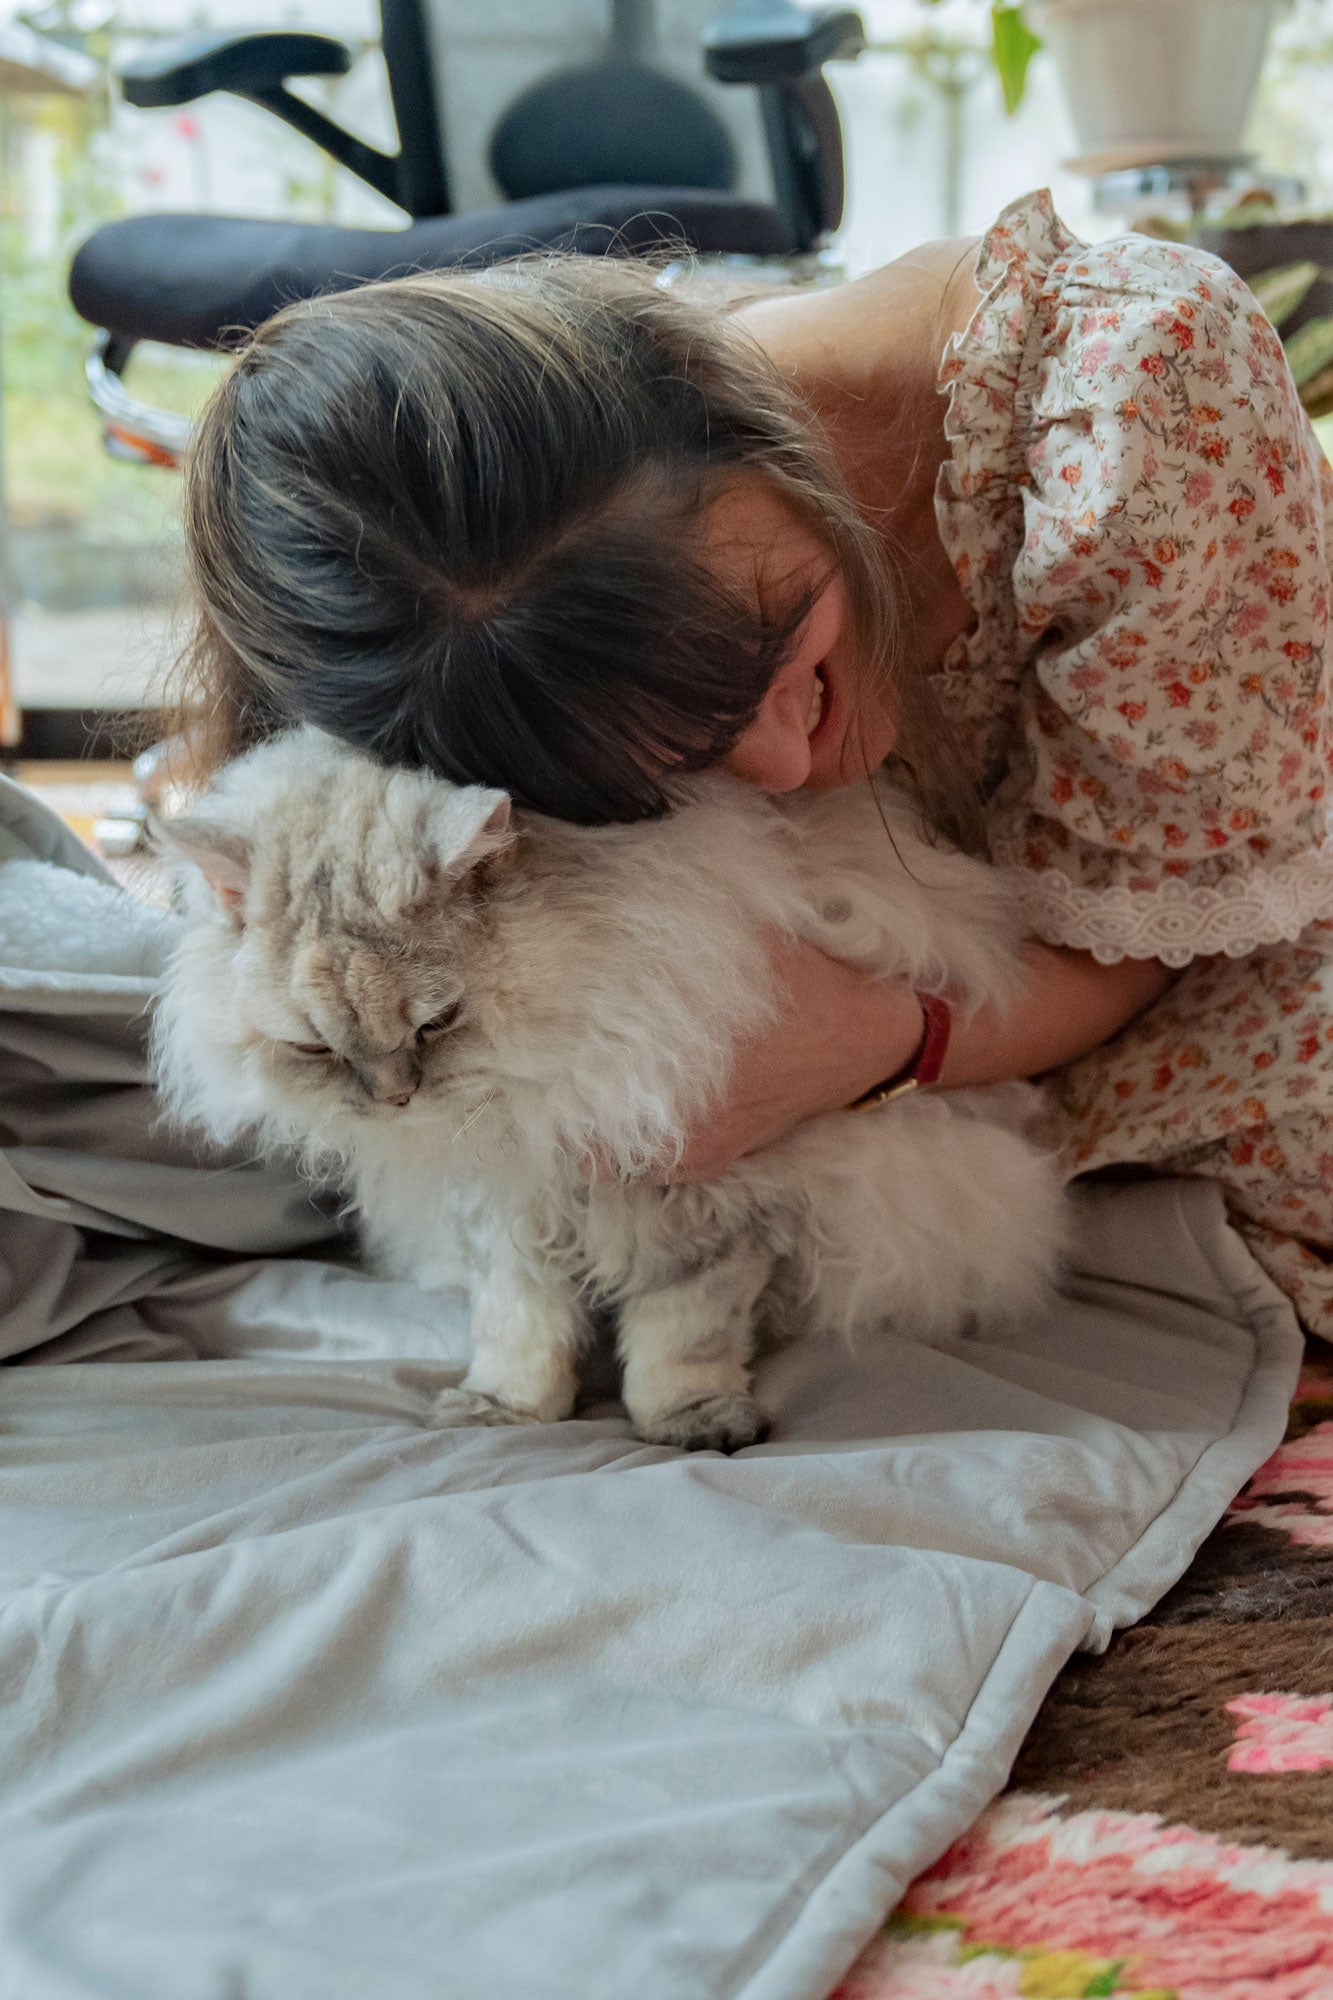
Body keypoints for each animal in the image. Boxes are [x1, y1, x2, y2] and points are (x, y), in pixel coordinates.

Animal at [150, 728, 1056, 1448]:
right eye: (314, 1047)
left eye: (437, 1024)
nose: (392, 1099)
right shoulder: (506, 1210)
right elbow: (518, 1329)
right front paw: (508, 1410)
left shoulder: (710, 1202)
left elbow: (682, 1337)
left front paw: (690, 1420)